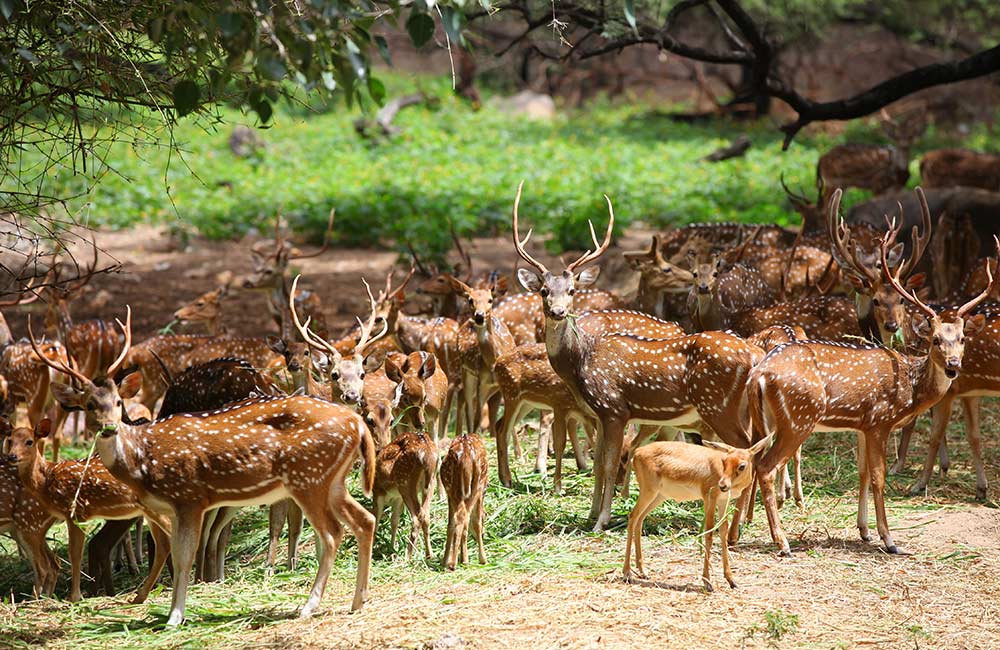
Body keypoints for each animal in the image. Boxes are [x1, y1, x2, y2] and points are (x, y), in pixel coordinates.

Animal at [37, 308, 376, 624]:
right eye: (89, 404)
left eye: (118, 402)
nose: (108, 427)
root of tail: (357, 424)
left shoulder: (188, 497)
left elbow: (183, 553)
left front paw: (176, 614)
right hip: (331, 482)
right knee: (364, 519)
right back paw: (357, 601)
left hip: (307, 479)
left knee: (332, 533)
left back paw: (307, 606)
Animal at [624, 436, 772, 588]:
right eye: (724, 461)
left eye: (742, 465)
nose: (722, 485)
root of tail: (637, 452)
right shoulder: (709, 498)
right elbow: (709, 533)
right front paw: (707, 582)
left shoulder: (723, 502)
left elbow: (723, 532)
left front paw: (731, 580)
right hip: (648, 492)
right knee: (632, 517)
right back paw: (627, 574)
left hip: (658, 496)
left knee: (639, 520)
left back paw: (643, 571)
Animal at [752, 190, 992, 556]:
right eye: (936, 339)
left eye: (962, 338)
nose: (953, 366)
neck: (909, 388)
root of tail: (760, 373)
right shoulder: (879, 421)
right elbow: (879, 476)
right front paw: (889, 540)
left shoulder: (863, 426)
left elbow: (862, 473)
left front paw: (864, 530)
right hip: (799, 418)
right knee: (765, 466)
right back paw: (782, 541)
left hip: (764, 419)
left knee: (749, 459)